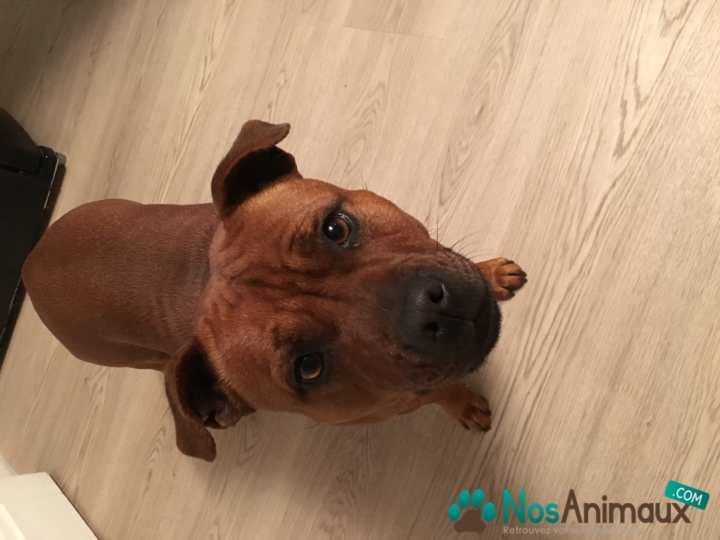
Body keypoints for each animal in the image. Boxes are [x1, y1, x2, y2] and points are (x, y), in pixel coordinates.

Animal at [21, 120, 526, 461]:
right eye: (308, 368)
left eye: (336, 228)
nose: (429, 313)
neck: (200, 278)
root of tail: (29, 263)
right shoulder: (404, 398)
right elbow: (442, 391)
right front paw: (463, 404)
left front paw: (493, 273)